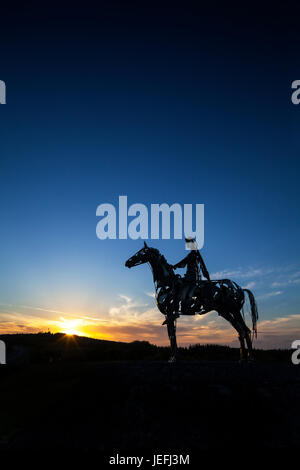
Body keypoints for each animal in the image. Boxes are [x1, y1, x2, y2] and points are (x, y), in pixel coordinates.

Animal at [125, 241, 258, 362]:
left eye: (141, 252)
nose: (127, 262)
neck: (167, 282)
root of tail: (239, 288)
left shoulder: (170, 313)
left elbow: (172, 335)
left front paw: (174, 358)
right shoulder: (169, 315)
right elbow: (171, 334)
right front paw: (174, 357)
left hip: (234, 310)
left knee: (245, 330)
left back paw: (250, 358)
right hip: (225, 312)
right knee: (240, 331)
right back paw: (242, 359)